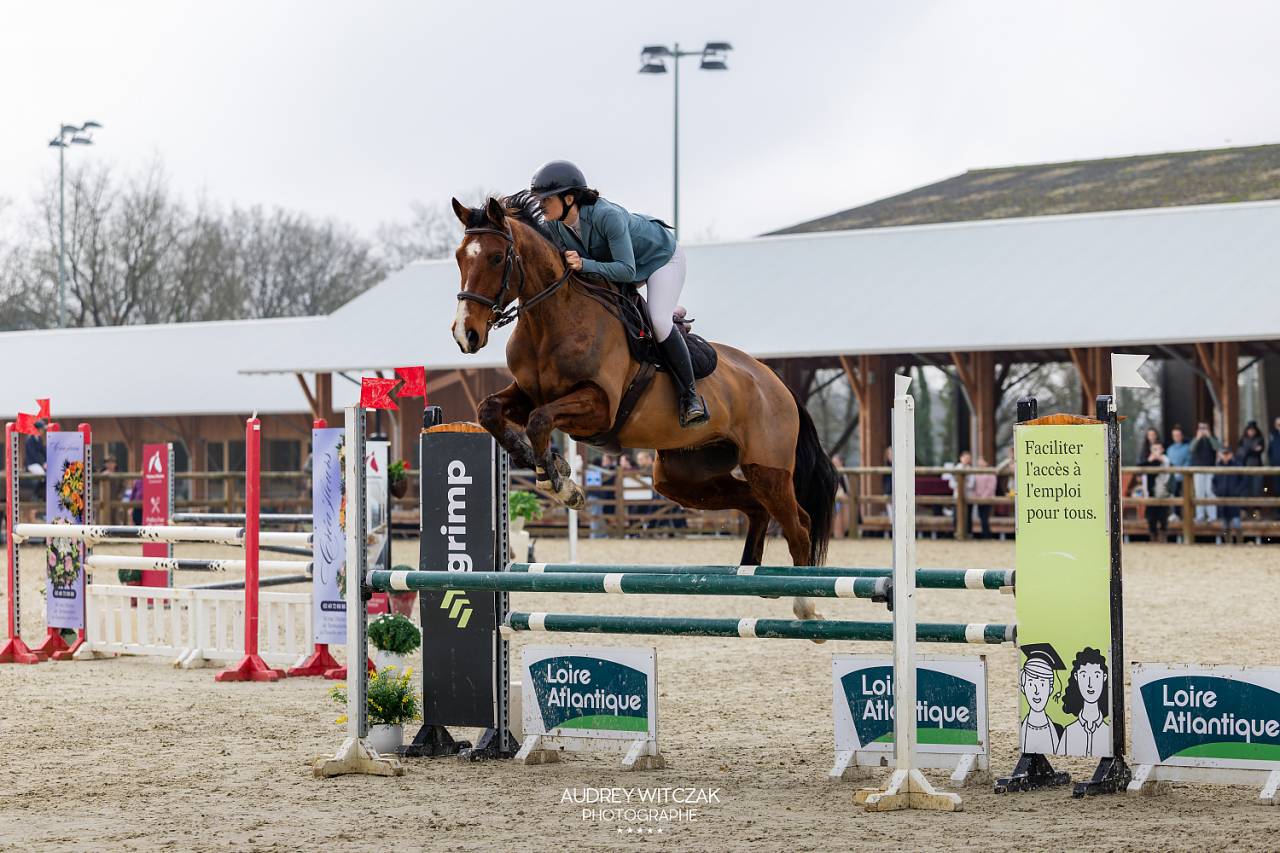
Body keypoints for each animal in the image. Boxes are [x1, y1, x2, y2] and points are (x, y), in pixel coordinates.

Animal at [449, 193, 838, 620]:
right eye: (460, 258)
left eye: (496, 257)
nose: (466, 335)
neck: (550, 320)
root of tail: (777, 384)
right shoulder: (526, 393)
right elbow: (490, 411)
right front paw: (543, 463)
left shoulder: (598, 406)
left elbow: (539, 420)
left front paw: (561, 484)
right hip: (683, 477)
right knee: (756, 507)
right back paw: (754, 573)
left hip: (766, 468)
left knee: (799, 525)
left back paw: (805, 604)